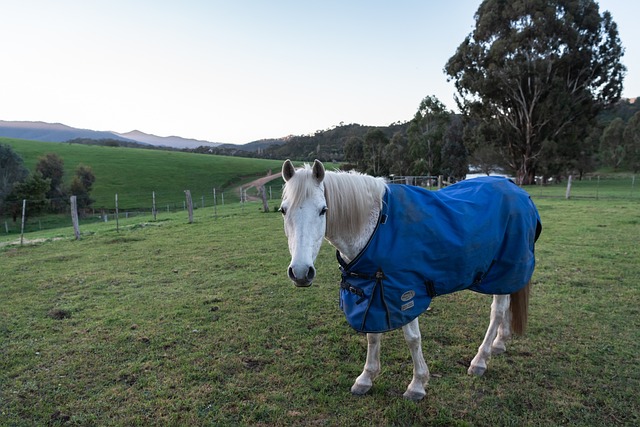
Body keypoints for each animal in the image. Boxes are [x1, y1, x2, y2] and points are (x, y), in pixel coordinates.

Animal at [282, 160, 536, 402]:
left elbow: (413, 339)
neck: (376, 227)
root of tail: (517, 190)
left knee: (498, 312)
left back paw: (480, 360)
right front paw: (366, 378)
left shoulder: (405, 292)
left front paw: (417, 385)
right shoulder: (374, 291)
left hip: (504, 272)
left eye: (323, 210)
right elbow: (372, 336)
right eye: (283, 210)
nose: (301, 272)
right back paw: (499, 343)